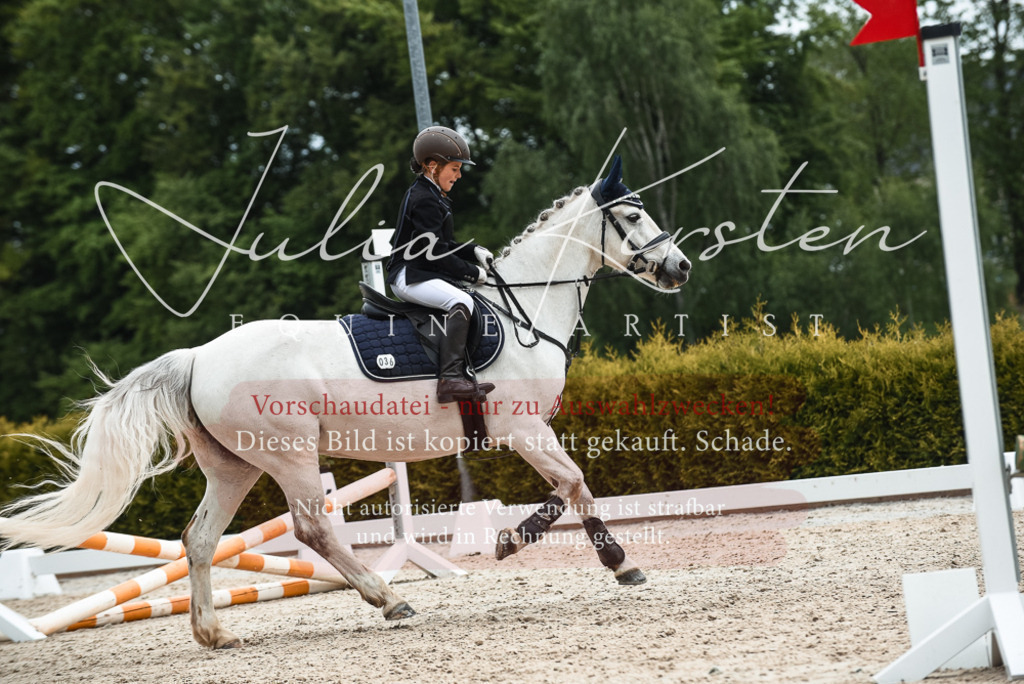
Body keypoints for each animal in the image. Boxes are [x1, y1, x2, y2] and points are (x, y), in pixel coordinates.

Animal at [0, 155, 691, 648]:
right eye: (631, 218)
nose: (681, 267)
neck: (523, 307)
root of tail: (197, 358)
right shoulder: (521, 429)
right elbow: (574, 483)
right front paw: (609, 560)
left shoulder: (524, 432)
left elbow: (567, 487)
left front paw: (518, 542)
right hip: (290, 455)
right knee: (310, 528)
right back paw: (389, 598)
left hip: (234, 465)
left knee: (200, 539)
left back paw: (213, 632)